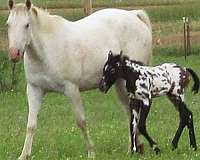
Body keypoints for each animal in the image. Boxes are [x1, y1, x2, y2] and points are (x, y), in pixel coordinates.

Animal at [7, 0, 152, 159]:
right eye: (8, 24)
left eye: (27, 25)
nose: (14, 54)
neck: (48, 50)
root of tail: (134, 15)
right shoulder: (34, 89)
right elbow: (31, 124)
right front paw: (24, 155)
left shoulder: (72, 89)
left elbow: (81, 121)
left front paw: (91, 152)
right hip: (120, 85)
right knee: (130, 112)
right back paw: (134, 148)